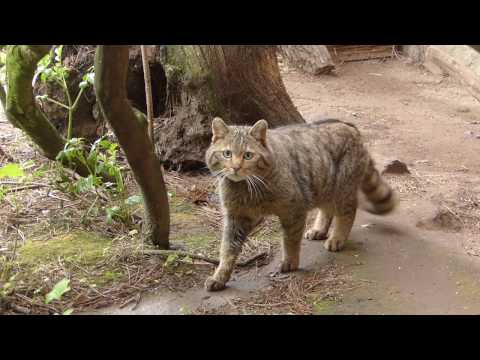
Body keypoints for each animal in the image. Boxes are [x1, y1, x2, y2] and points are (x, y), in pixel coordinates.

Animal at [204, 118, 396, 292]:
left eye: (248, 155)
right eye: (227, 153)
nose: (236, 167)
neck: (246, 188)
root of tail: (349, 125)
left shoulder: (294, 210)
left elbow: (290, 241)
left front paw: (290, 261)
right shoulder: (236, 217)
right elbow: (227, 251)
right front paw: (220, 277)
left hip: (343, 188)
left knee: (347, 213)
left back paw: (337, 238)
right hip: (323, 186)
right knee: (327, 210)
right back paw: (319, 229)